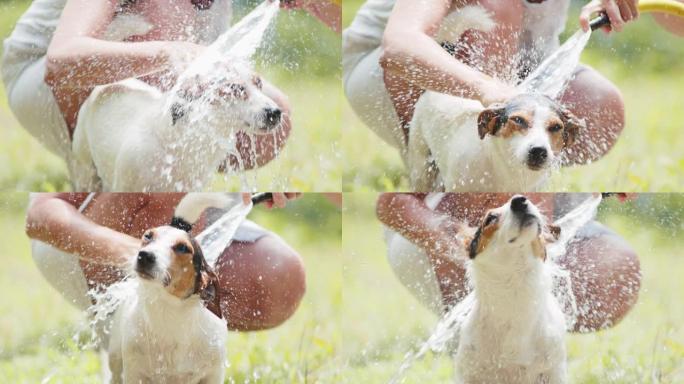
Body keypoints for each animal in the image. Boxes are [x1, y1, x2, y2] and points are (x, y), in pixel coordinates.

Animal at [105, 194, 236, 382]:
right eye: (148, 236)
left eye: (182, 247)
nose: (144, 256)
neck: (170, 315)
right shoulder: (135, 372)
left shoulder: (213, 373)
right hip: (116, 356)